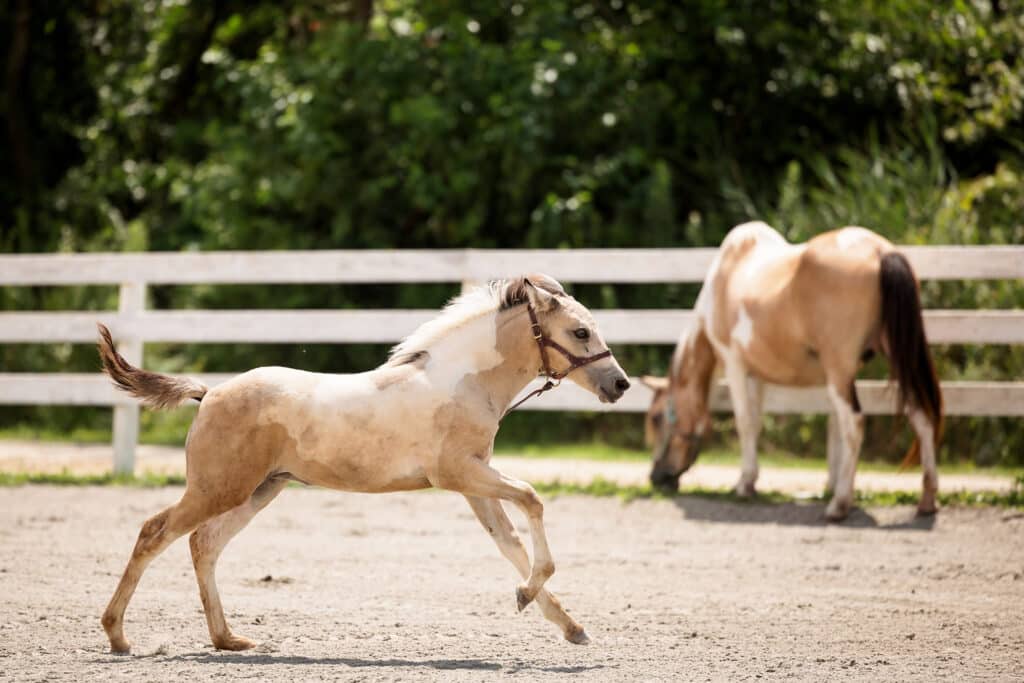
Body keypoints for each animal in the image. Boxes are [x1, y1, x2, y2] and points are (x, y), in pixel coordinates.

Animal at [96, 274, 626, 655]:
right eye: (580, 332)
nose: (619, 384)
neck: (462, 382)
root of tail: (209, 394)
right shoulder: (458, 473)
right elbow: (533, 501)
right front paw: (530, 597)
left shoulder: (475, 484)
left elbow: (511, 544)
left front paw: (567, 624)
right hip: (218, 488)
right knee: (154, 533)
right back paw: (118, 636)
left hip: (259, 490)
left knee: (204, 545)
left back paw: (228, 640)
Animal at [643, 222, 937, 520]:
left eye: (656, 418)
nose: (656, 477)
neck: (726, 276)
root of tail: (880, 252)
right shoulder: (758, 374)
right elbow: (764, 424)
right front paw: (750, 481)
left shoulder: (734, 363)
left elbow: (745, 422)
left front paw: (744, 485)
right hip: (896, 356)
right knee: (921, 415)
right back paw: (926, 500)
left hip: (839, 368)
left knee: (855, 425)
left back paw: (839, 504)